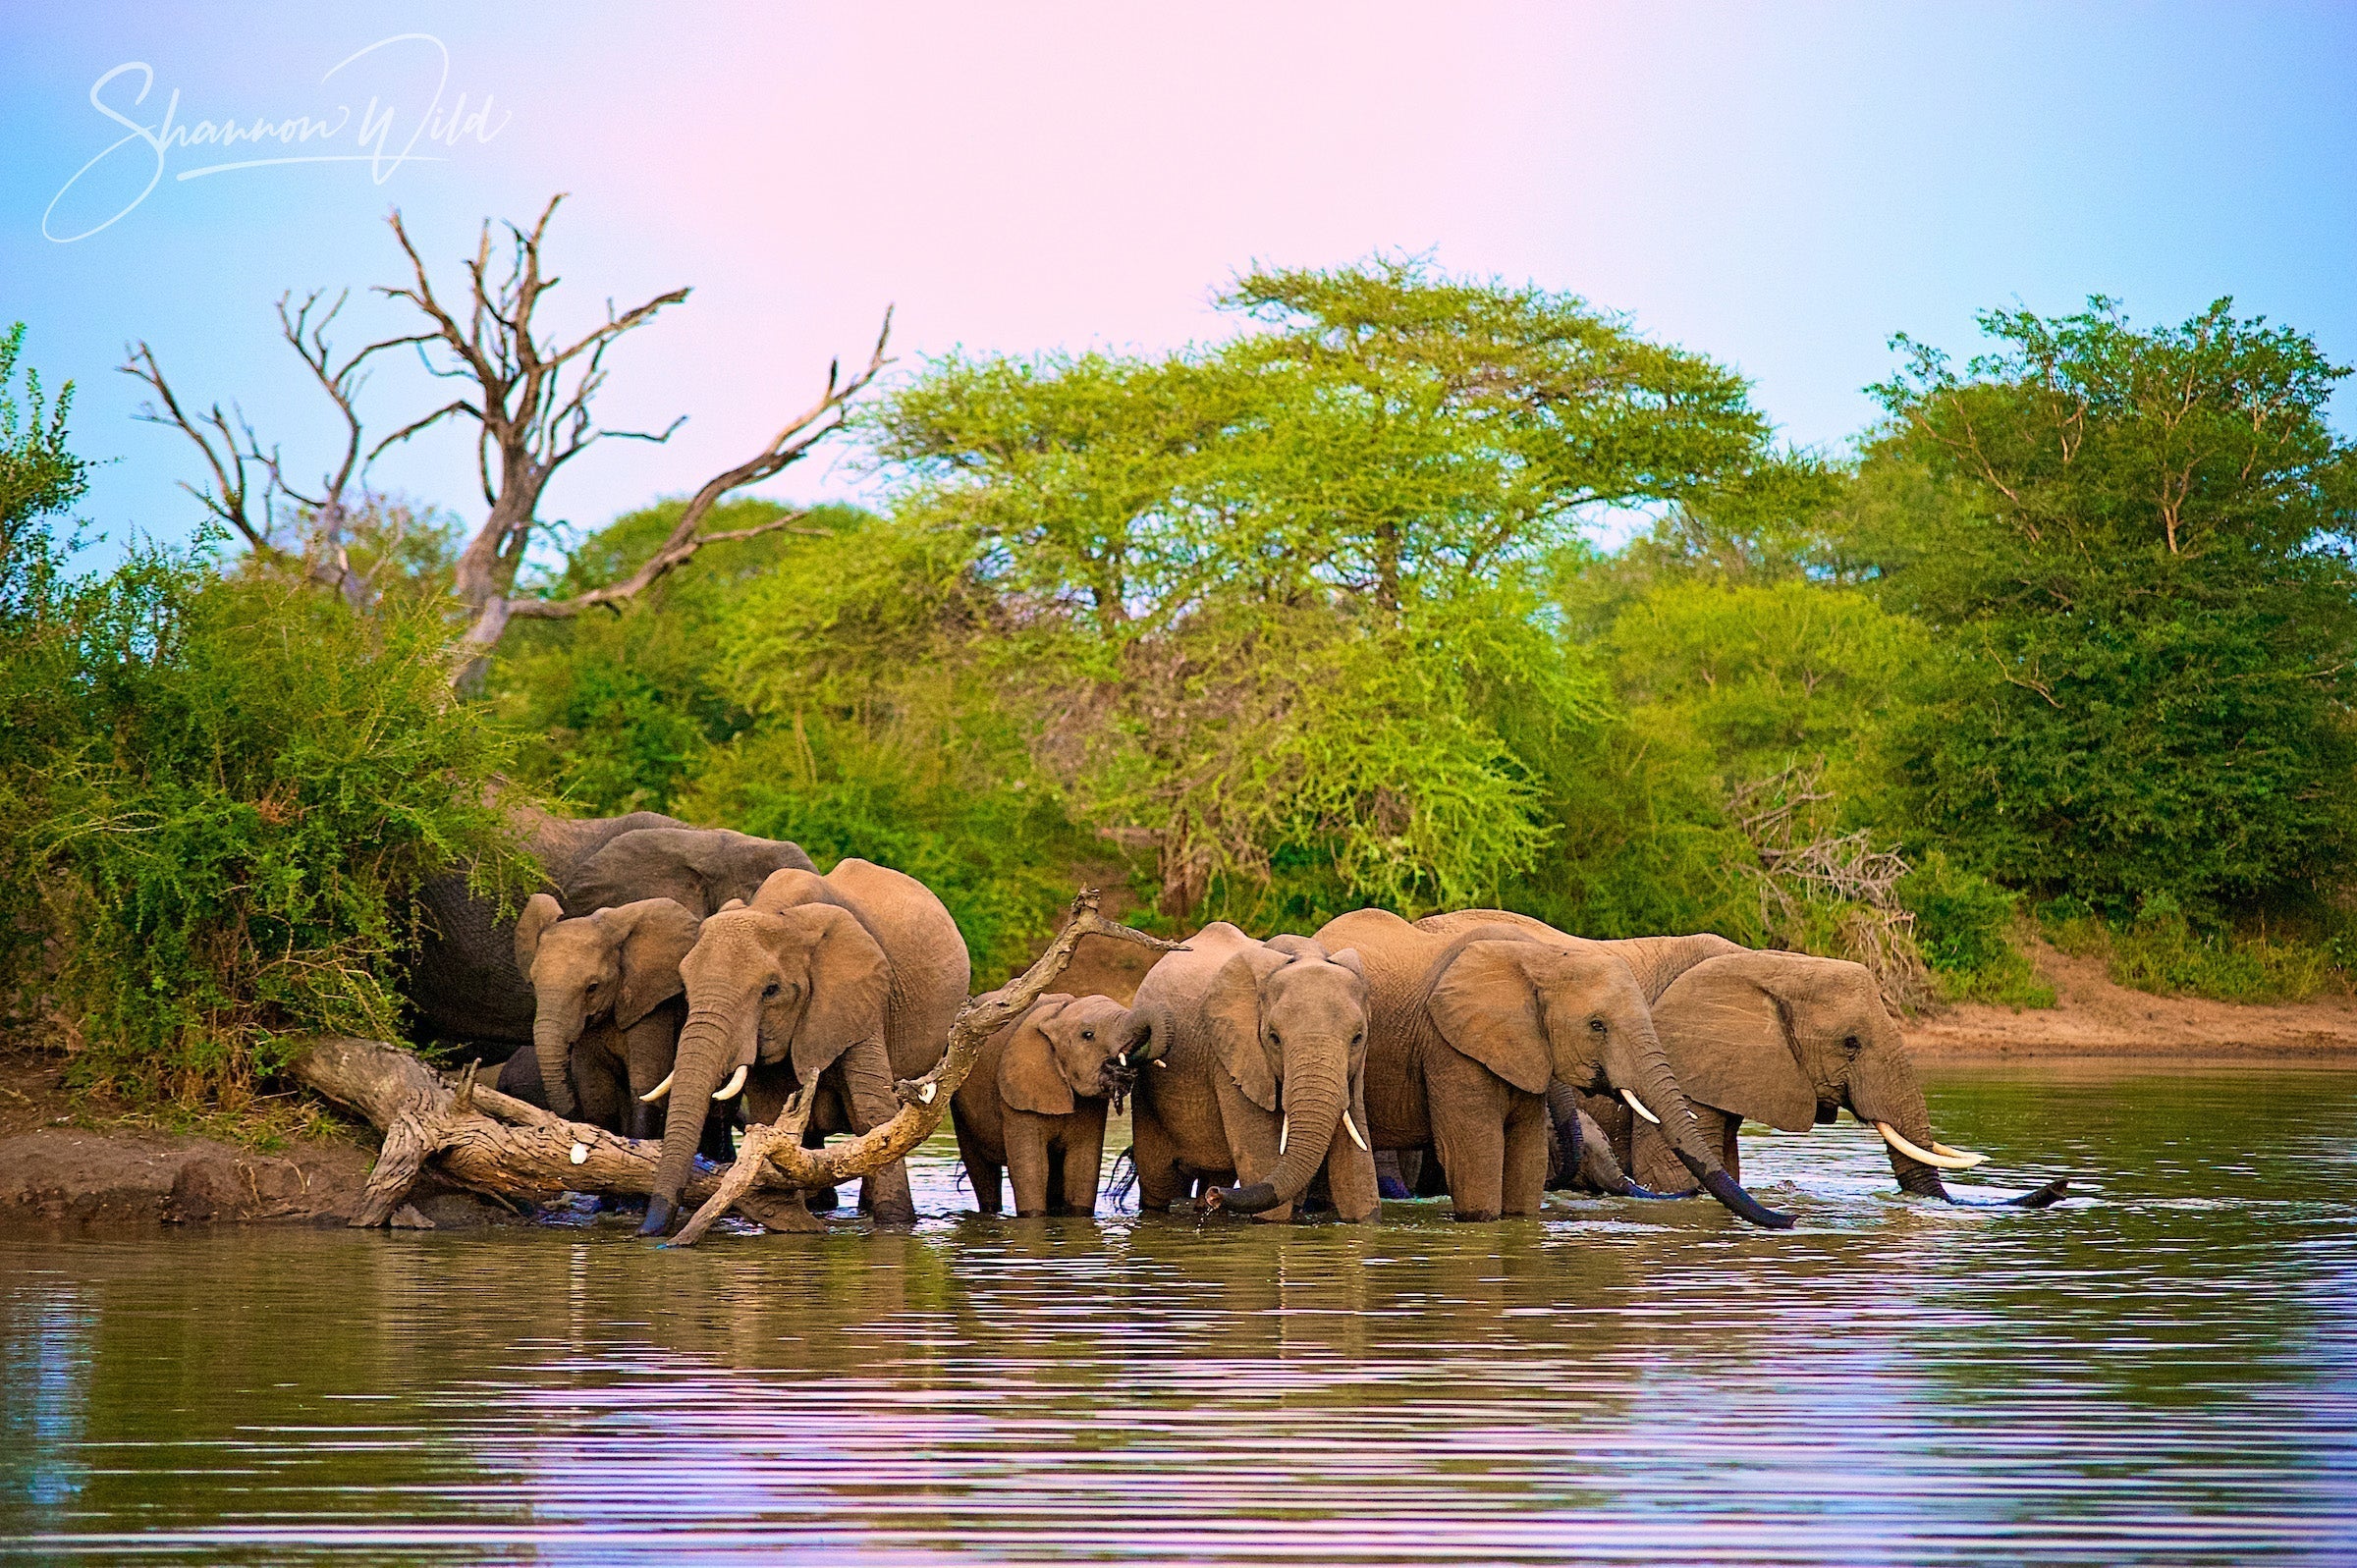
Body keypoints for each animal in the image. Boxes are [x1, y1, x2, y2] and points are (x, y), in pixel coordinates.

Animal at [638, 858, 971, 1236]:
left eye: (770, 990)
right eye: (685, 984)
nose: (648, 1233)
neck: (781, 914)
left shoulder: (859, 998)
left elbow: (875, 1113)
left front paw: (895, 1225)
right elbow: (771, 1116)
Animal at [951, 993, 1148, 1217]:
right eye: (1088, 1035)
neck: (1056, 1016)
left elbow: (1082, 1166)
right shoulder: (1018, 1097)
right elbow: (1032, 1169)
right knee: (981, 1171)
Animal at [1126, 924, 1380, 1224]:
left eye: (1357, 1038)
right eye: (1274, 1038)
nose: (1216, 1196)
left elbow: (1357, 1174)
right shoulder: (1231, 1058)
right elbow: (1262, 1165)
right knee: (1159, 1181)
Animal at [1311, 909, 1792, 1227]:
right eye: (1597, 1026)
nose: (1787, 1220)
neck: (1542, 961)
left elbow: (1527, 1155)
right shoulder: (1445, 1043)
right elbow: (1473, 1151)